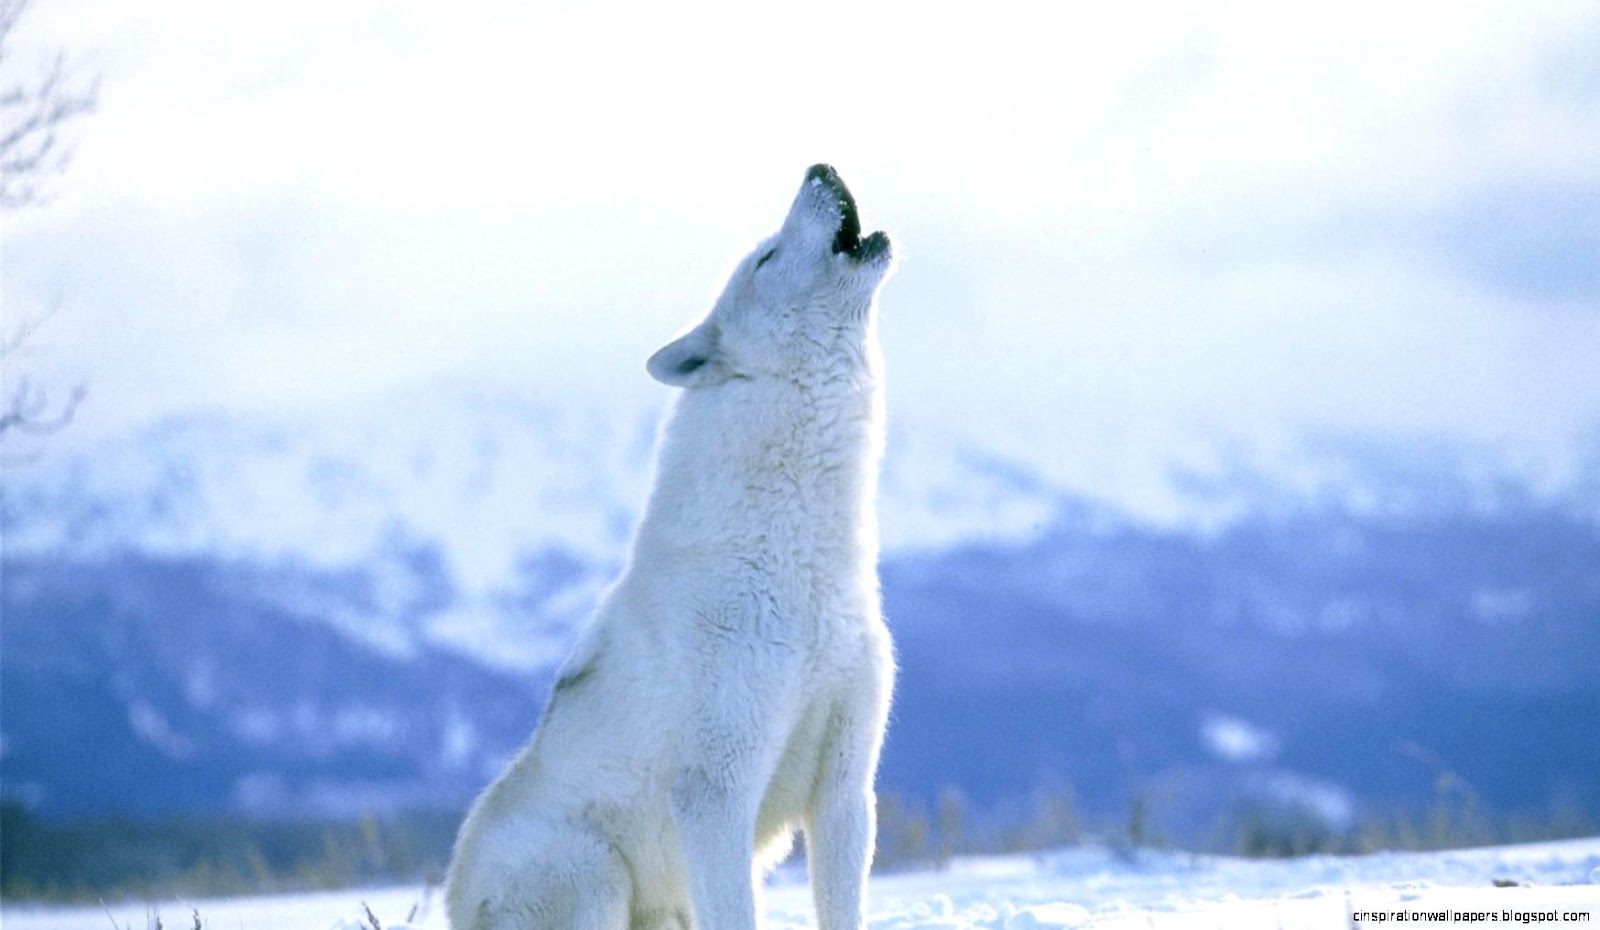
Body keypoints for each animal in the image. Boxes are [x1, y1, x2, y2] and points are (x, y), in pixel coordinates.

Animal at [445, 164, 897, 930]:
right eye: (766, 259)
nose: (821, 167)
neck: (800, 570)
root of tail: (452, 903)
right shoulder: (716, 797)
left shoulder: (845, 788)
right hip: (595, 876)